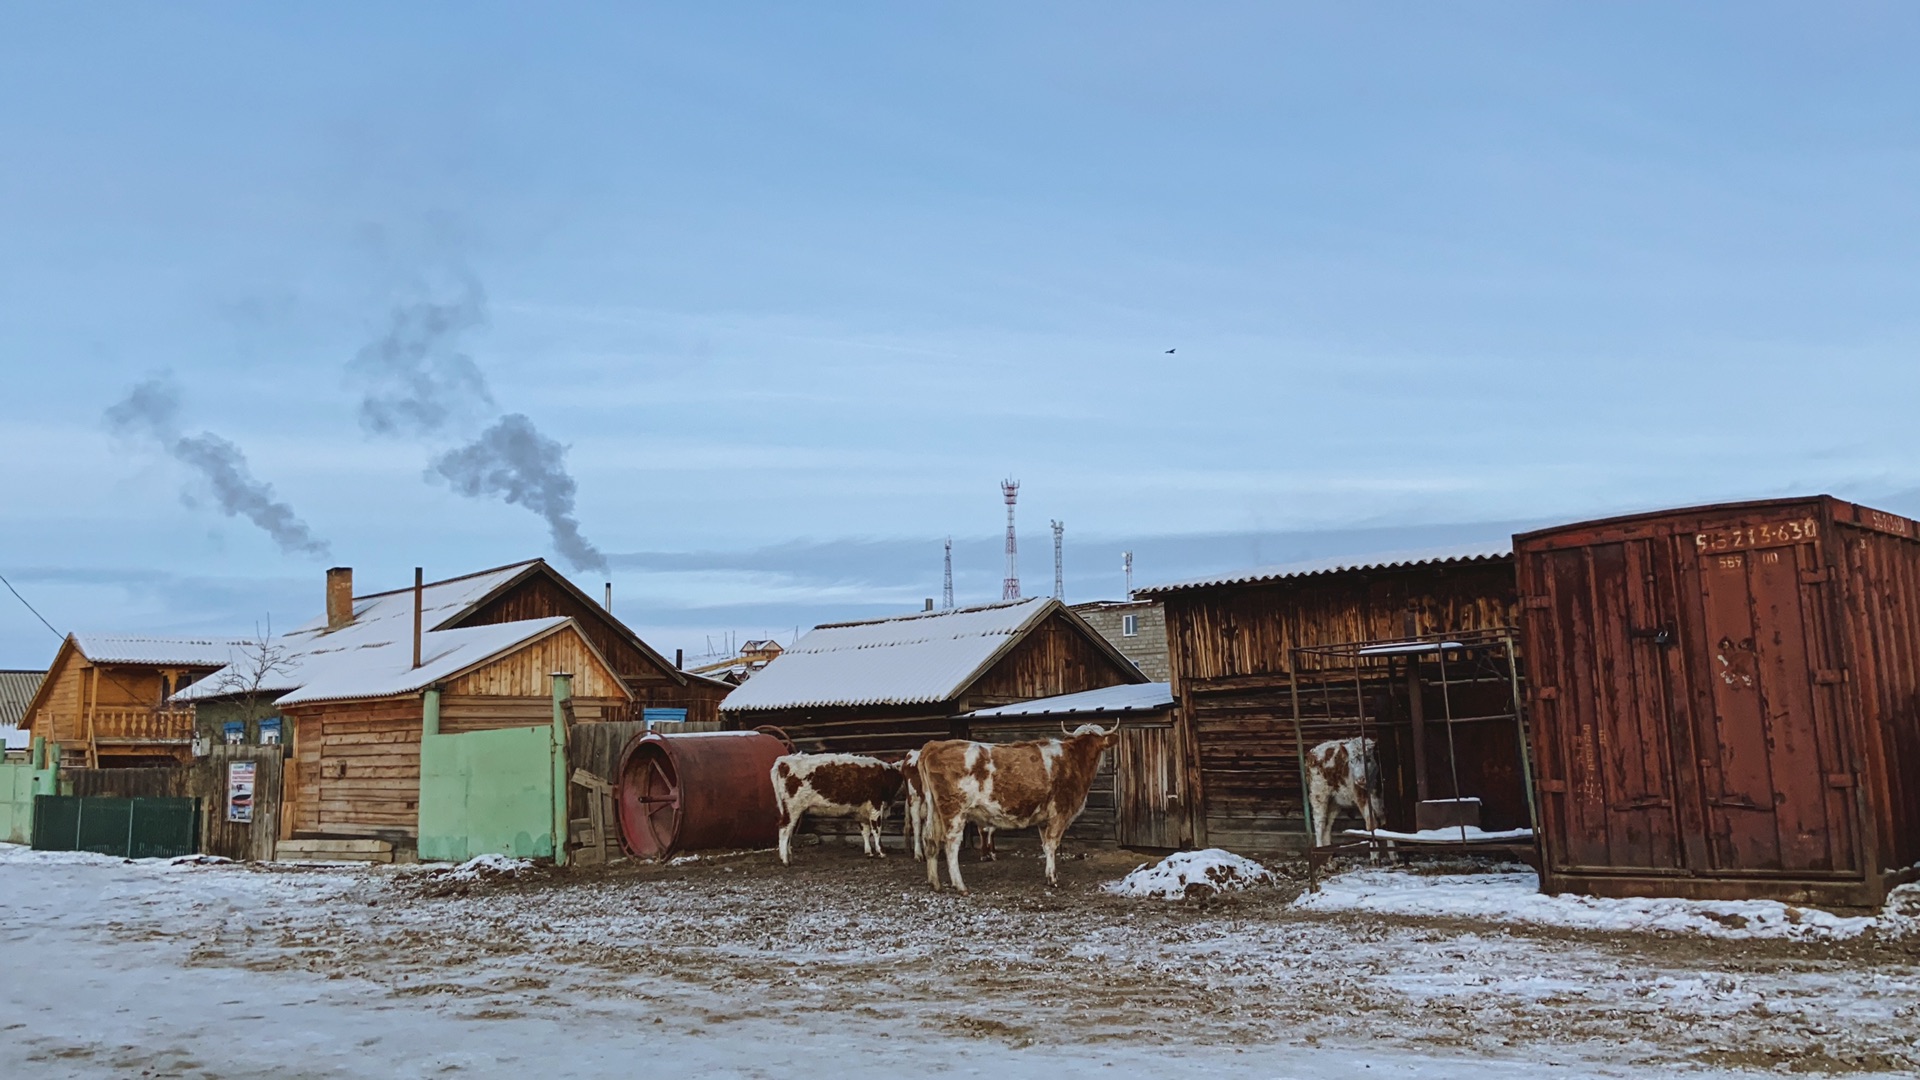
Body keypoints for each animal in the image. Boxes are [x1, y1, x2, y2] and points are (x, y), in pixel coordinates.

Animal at [771, 753, 906, 860]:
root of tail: (783, 761)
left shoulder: (861, 811)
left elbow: (865, 832)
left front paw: (869, 852)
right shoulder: (876, 805)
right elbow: (877, 830)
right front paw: (881, 852)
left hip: (788, 808)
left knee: (789, 829)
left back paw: (788, 853)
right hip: (792, 807)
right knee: (784, 828)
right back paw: (785, 860)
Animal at [917, 722, 1121, 891]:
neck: (1075, 760)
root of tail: (934, 744)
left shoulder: (1044, 819)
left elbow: (1046, 846)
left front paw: (1048, 875)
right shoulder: (1060, 813)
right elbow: (1052, 844)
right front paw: (1053, 879)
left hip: (934, 811)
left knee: (930, 840)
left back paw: (934, 883)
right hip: (954, 812)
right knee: (951, 845)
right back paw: (960, 886)